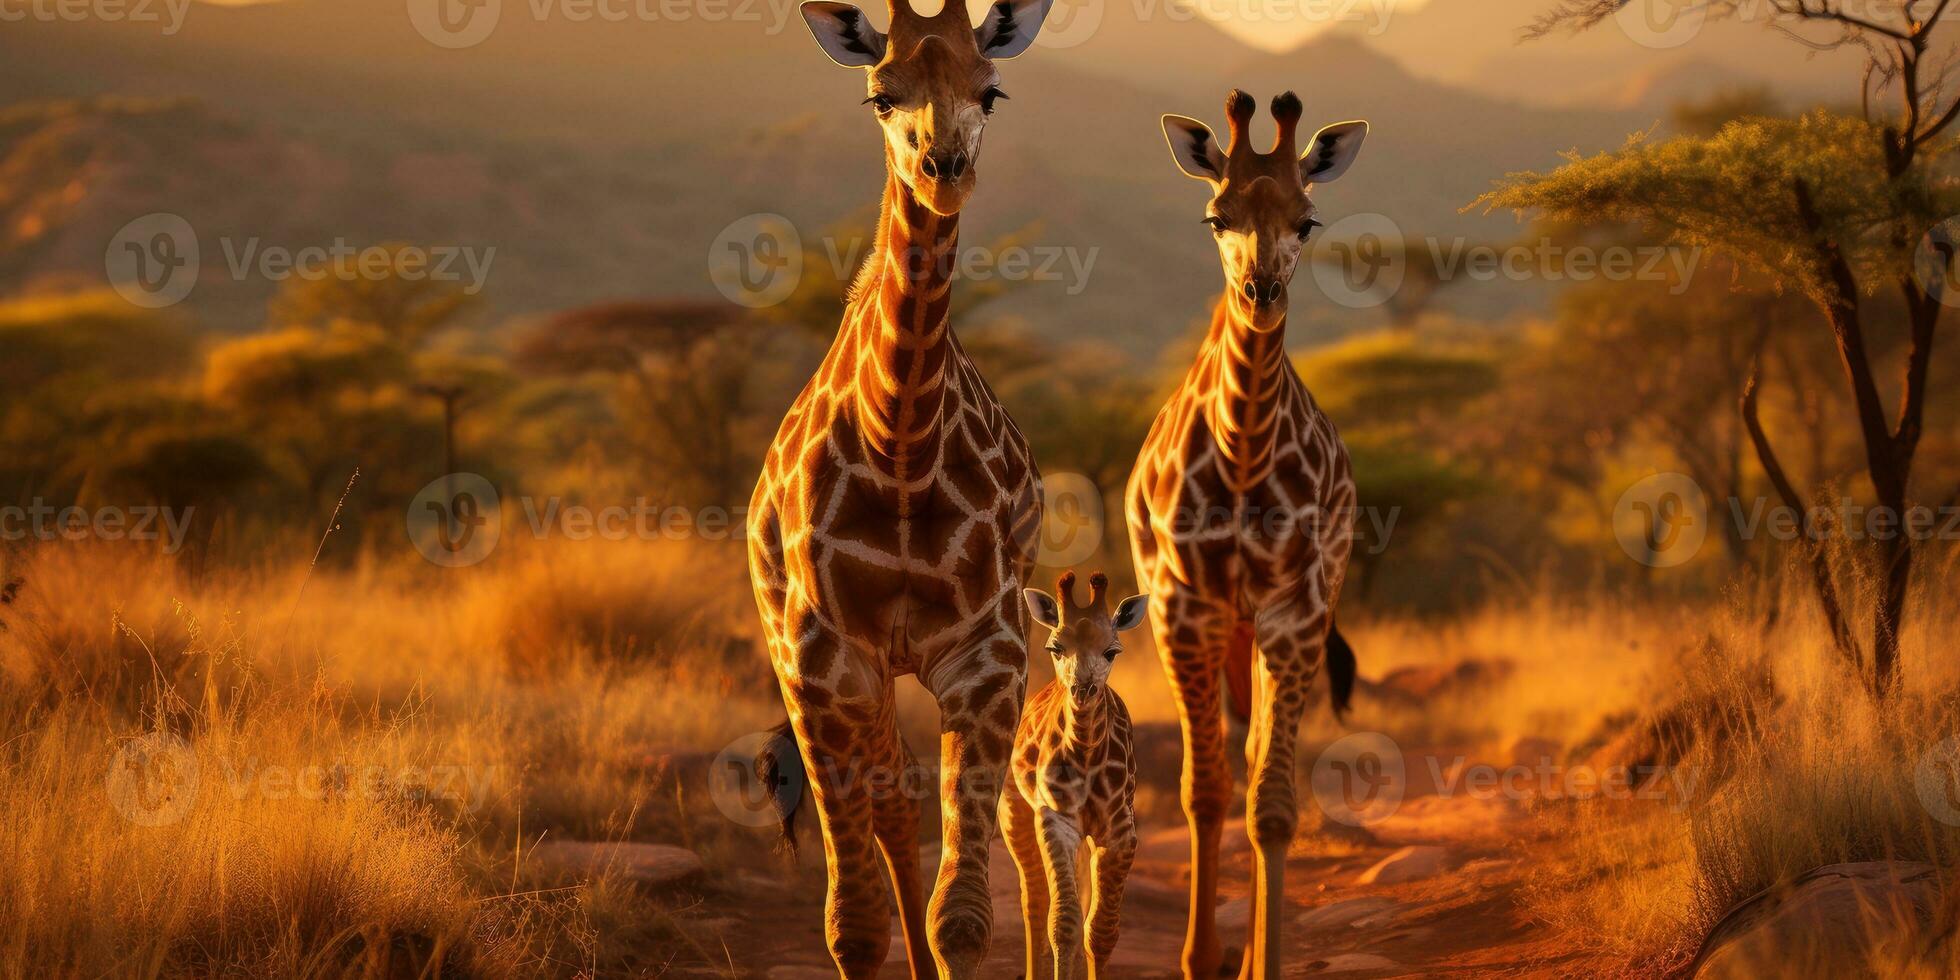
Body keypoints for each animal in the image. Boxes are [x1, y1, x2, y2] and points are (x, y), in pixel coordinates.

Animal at [748, 1, 1058, 980]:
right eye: (880, 95)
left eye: (989, 89)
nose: (944, 169)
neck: (903, 447)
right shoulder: (824, 661)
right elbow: (854, 925)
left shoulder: (987, 655)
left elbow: (959, 919)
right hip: (826, 662)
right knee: (888, 804)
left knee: (904, 804)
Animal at [1003, 572, 1144, 976]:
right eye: (1055, 648)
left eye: (1112, 651)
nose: (1083, 689)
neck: (1086, 755)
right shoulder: (1057, 819)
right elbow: (1063, 924)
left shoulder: (1120, 831)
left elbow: (1100, 930)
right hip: (1014, 812)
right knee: (1034, 899)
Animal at [1128, 92, 1372, 980]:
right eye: (1215, 216)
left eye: (1308, 219)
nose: (1260, 289)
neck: (1241, 457)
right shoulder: (1183, 611)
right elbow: (1205, 791)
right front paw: (1202, 958)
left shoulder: (1295, 612)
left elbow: (1274, 801)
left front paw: (1261, 960)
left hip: (1279, 626)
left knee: (1266, 746)